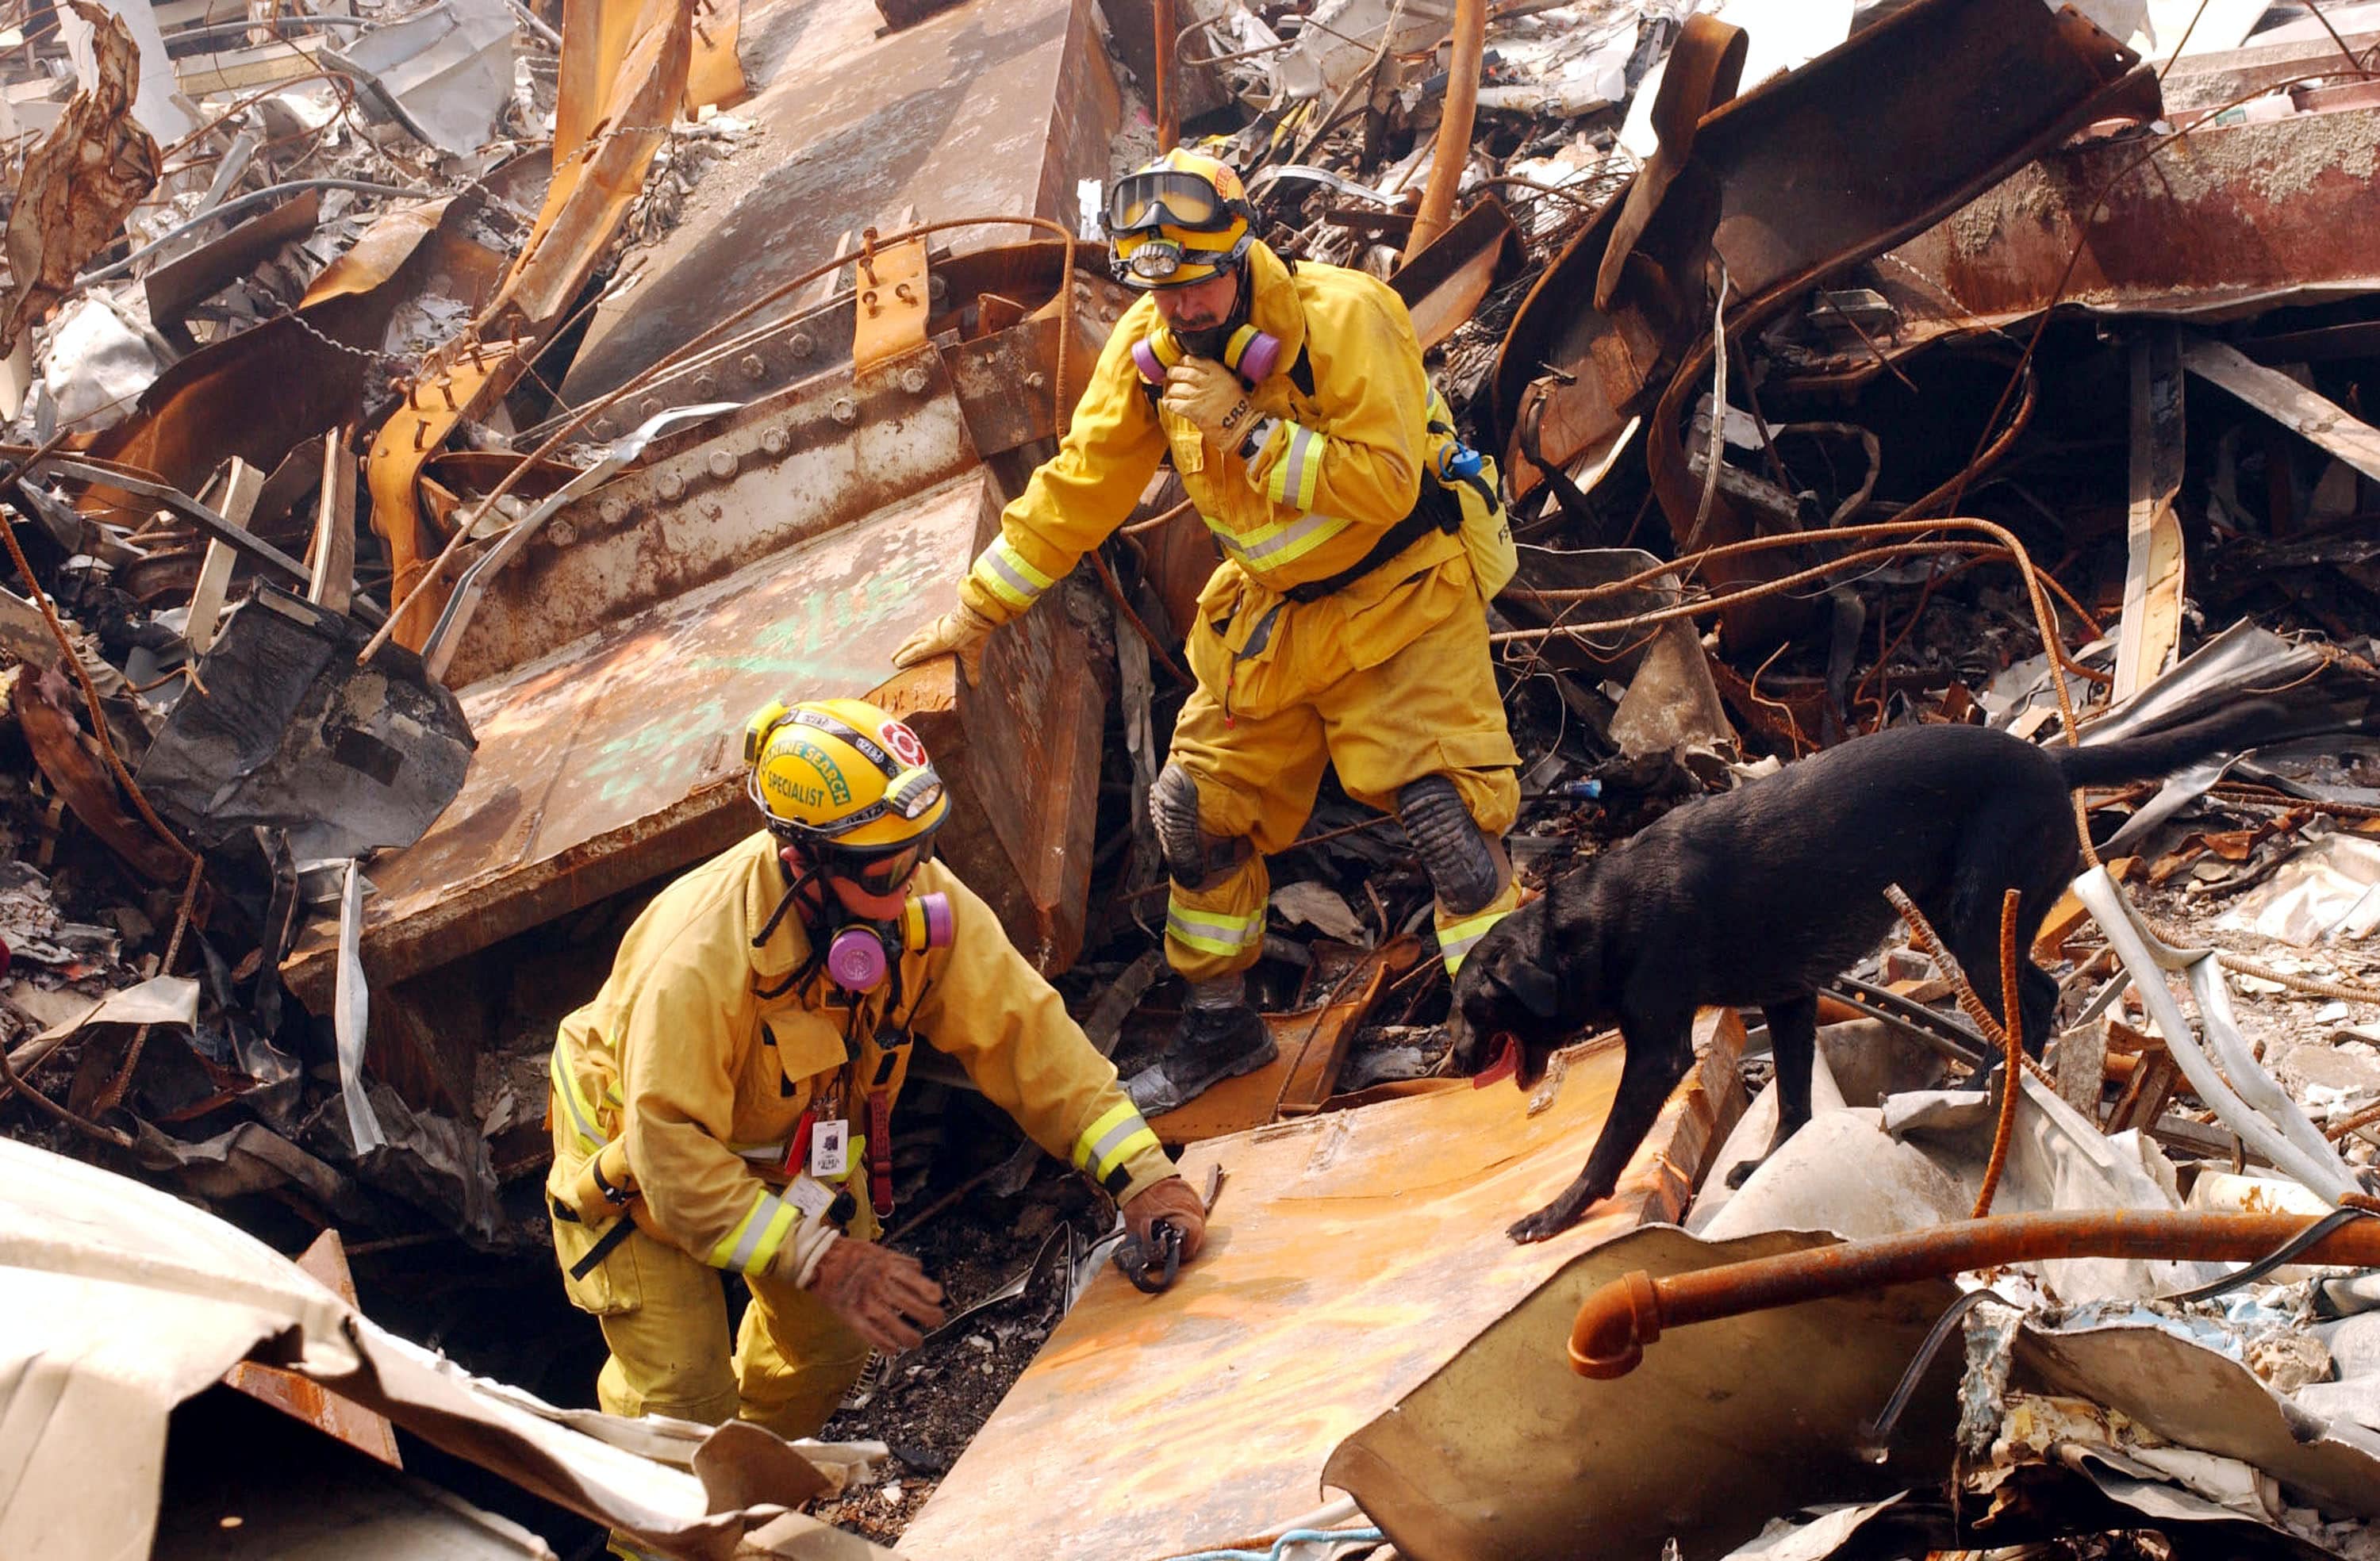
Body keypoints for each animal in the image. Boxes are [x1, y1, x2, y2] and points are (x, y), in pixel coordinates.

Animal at [1447, 700, 2304, 1237]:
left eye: (1469, 1009)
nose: (1452, 1063)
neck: (1591, 922)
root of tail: (2050, 756)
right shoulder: (1789, 997)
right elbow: (1795, 1100)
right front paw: (1771, 1161)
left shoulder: (1658, 1049)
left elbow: (1607, 1148)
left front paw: (1558, 1212)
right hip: (1964, 915)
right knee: (2038, 991)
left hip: (1974, 916)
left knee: (2035, 994)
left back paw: (1988, 1082)